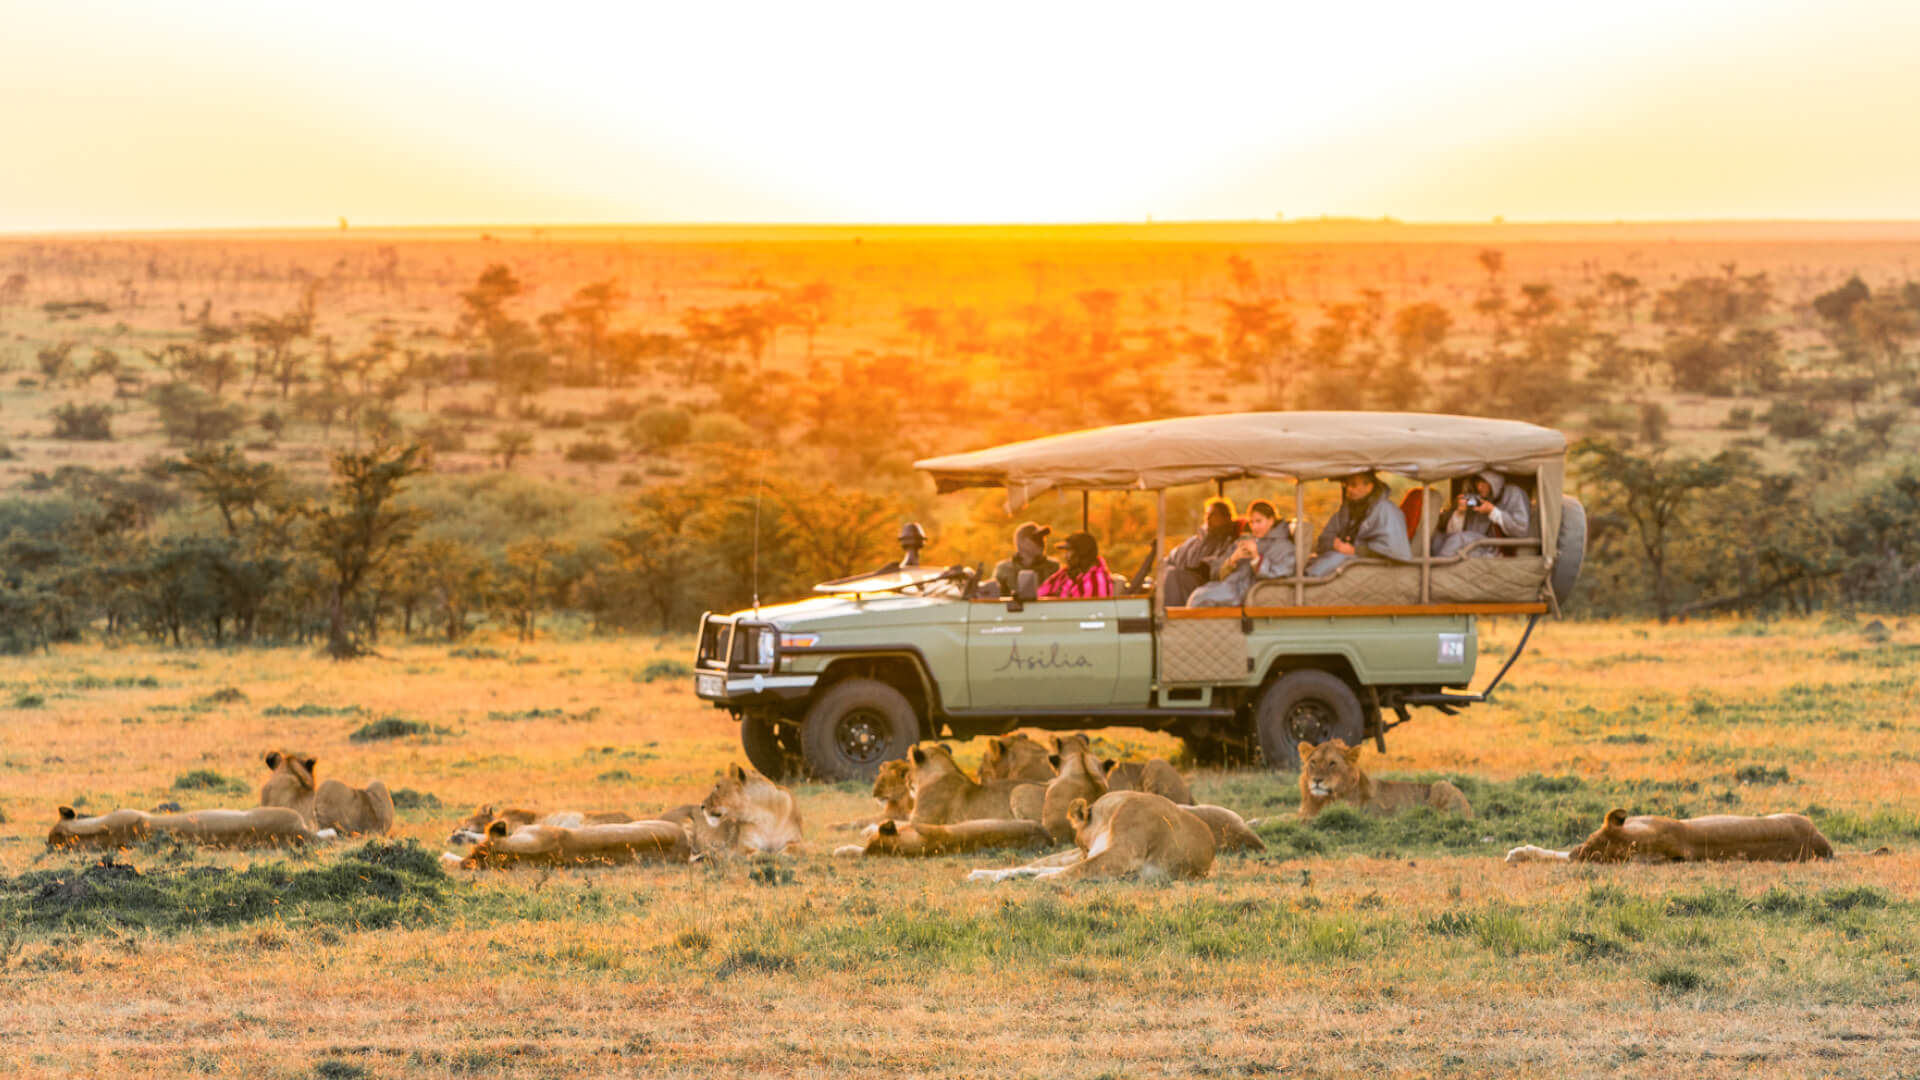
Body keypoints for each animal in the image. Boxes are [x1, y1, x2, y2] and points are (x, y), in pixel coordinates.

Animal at [968, 791, 1216, 883]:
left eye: (1083, 846)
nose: (1084, 853)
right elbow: (1061, 868)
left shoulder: (1120, 856)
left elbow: (1076, 869)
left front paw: (1043, 880)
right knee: (1035, 863)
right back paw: (981, 873)